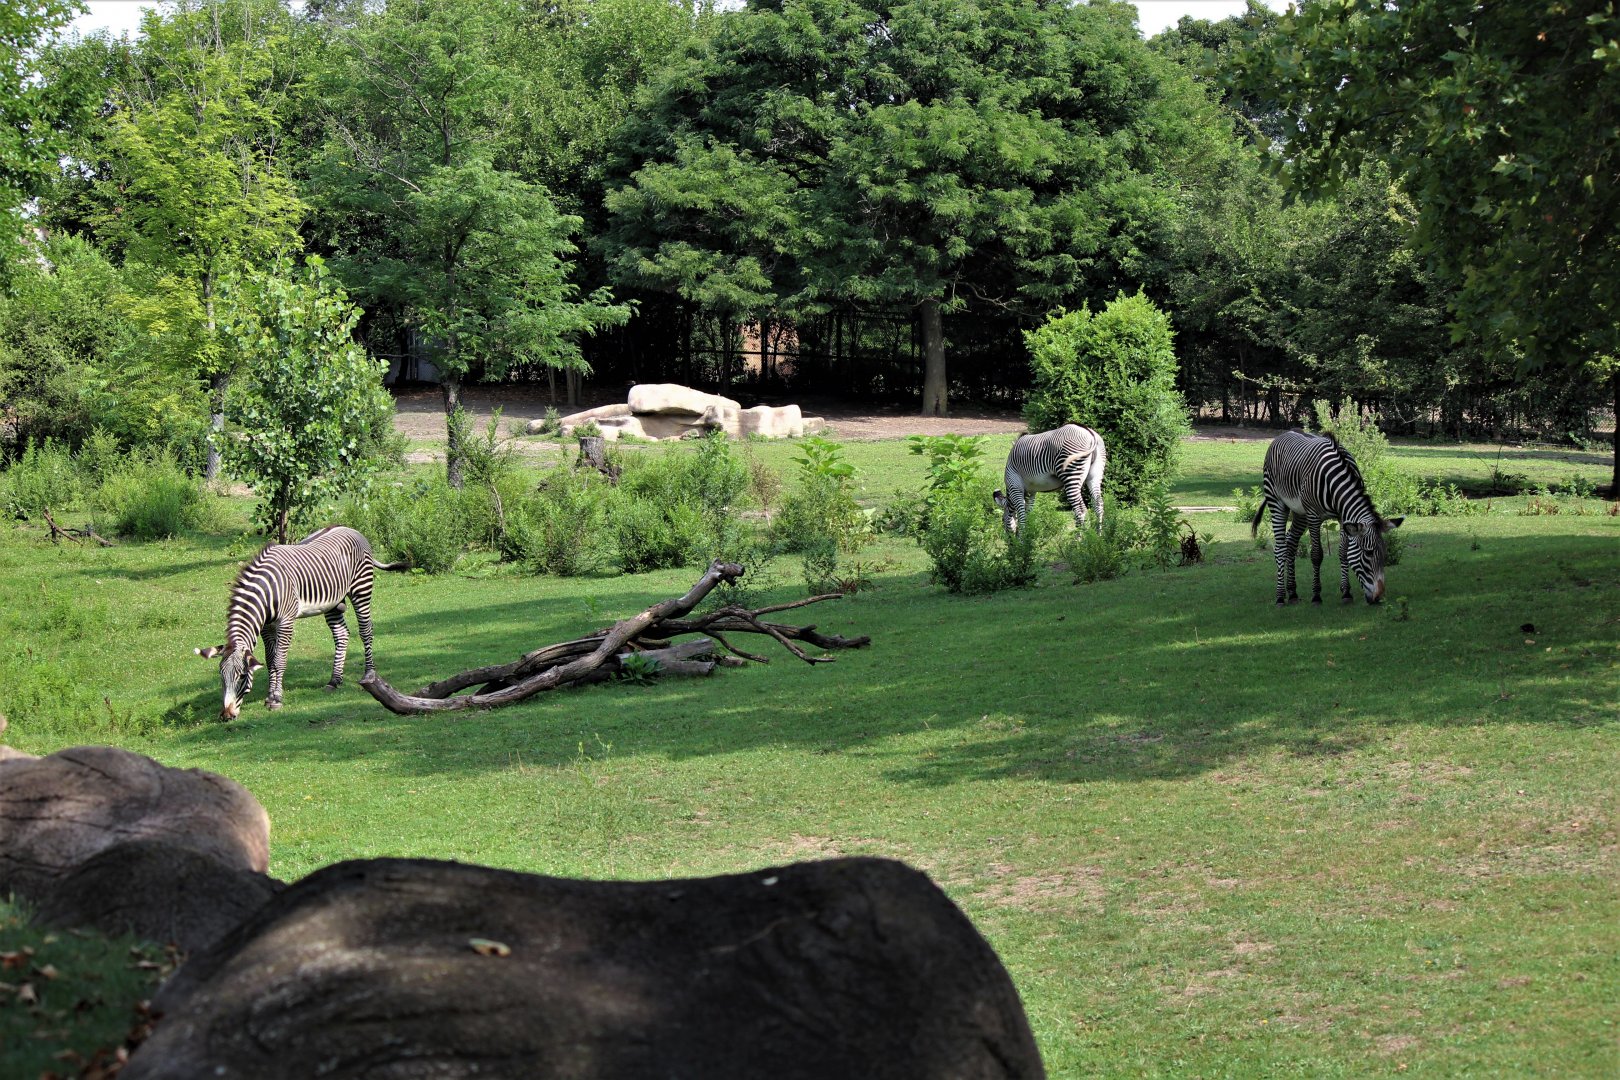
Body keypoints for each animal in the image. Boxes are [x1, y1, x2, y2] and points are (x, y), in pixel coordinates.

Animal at [194, 526, 404, 719]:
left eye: (243, 676)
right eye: (221, 677)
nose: (226, 716)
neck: (266, 591)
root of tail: (351, 529)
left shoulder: (286, 621)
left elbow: (279, 660)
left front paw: (276, 698)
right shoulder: (267, 626)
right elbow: (270, 659)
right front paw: (270, 695)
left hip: (361, 589)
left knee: (366, 630)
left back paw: (369, 673)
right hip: (333, 602)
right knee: (341, 634)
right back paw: (334, 681)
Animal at [1251, 430, 1404, 606]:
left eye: (1385, 552)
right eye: (1369, 553)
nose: (1379, 598)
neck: (1336, 482)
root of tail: (1283, 434)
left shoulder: (1343, 517)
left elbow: (1343, 552)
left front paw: (1346, 593)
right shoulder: (1313, 516)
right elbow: (1317, 555)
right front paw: (1316, 595)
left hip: (1299, 512)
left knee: (1291, 542)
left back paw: (1293, 592)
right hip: (1277, 502)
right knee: (1280, 548)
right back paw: (1280, 596)